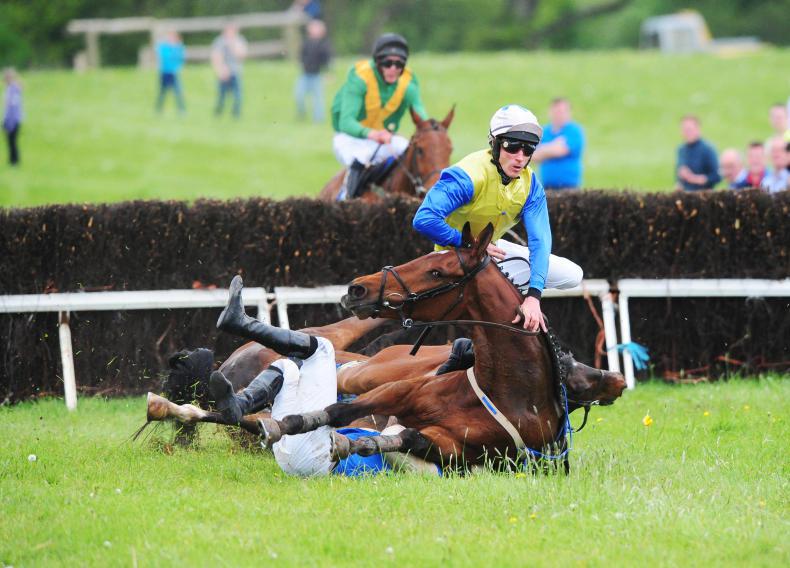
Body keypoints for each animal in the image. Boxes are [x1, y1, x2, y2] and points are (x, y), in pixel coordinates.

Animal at [252, 223, 627, 471]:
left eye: (435, 272)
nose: (357, 289)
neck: (508, 388)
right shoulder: (400, 391)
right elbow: (335, 411)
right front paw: (280, 426)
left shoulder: (460, 448)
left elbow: (401, 438)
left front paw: (349, 443)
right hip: (370, 371)